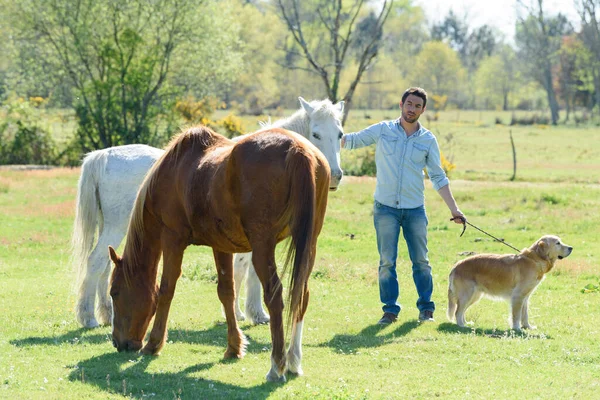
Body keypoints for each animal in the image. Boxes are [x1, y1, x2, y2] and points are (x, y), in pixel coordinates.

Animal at [72, 97, 344, 328]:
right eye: (316, 133)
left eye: (340, 134)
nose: (335, 175)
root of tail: (104, 155)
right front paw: (249, 313)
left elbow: (245, 269)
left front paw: (247, 313)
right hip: (116, 228)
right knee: (95, 262)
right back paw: (88, 318)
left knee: (106, 266)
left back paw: (107, 314)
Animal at [109, 124, 330, 382]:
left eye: (114, 292)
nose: (117, 343)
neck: (175, 171)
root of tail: (297, 149)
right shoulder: (221, 246)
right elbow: (226, 292)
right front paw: (234, 347)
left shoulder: (172, 239)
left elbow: (166, 290)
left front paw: (153, 344)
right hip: (308, 246)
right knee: (301, 296)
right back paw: (294, 360)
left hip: (263, 248)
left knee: (275, 298)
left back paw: (277, 366)